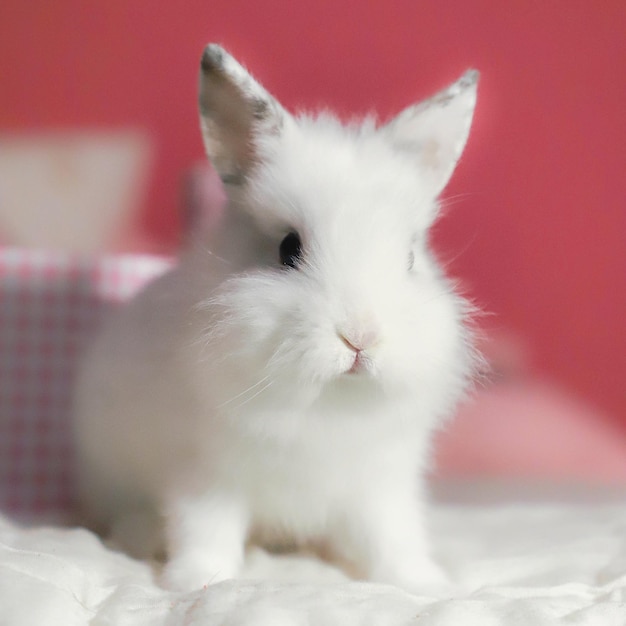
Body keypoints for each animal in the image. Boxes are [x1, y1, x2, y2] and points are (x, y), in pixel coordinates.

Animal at [75, 42, 480, 588]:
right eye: (289, 248)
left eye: (411, 257)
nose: (360, 336)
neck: (324, 402)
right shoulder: (205, 475)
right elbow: (205, 529)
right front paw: (198, 581)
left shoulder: (380, 485)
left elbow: (392, 537)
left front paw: (421, 582)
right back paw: (139, 539)